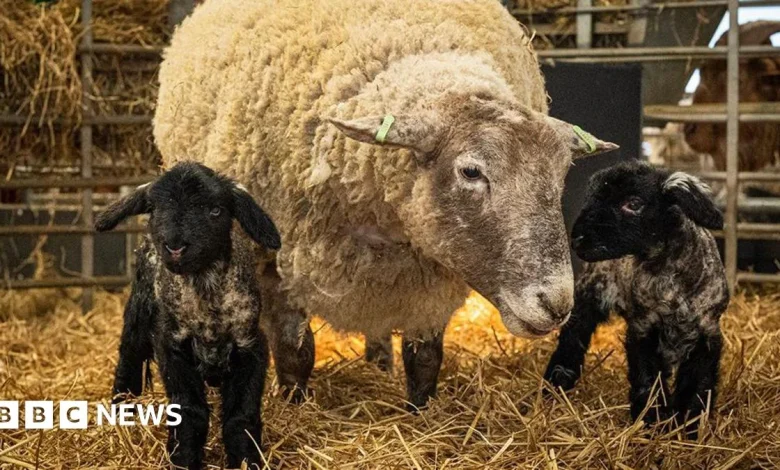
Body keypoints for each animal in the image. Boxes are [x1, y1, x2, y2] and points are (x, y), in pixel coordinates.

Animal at [95, 162, 281, 470]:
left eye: (215, 210)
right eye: (155, 209)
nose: (175, 246)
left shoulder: (251, 347)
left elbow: (240, 416)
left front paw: (247, 459)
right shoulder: (172, 347)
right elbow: (190, 413)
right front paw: (183, 458)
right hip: (140, 306)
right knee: (129, 355)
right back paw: (122, 411)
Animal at [153, 0, 617, 409]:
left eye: (561, 174)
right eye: (471, 172)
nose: (557, 304)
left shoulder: (429, 281)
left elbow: (424, 359)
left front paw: (420, 413)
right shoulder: (276, 262)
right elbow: (294, 353)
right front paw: (294, 406)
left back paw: (379, 364)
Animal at [544, 161, 729, 438]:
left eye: (633, 203)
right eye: (591, 198)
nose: (577, 239)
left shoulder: (706, 332)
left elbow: (697, 384)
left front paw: (688, 427)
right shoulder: (643, 328)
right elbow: (647, 378)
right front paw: (653, 422)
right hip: (592, 289)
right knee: (574, 333)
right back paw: (558, 379)